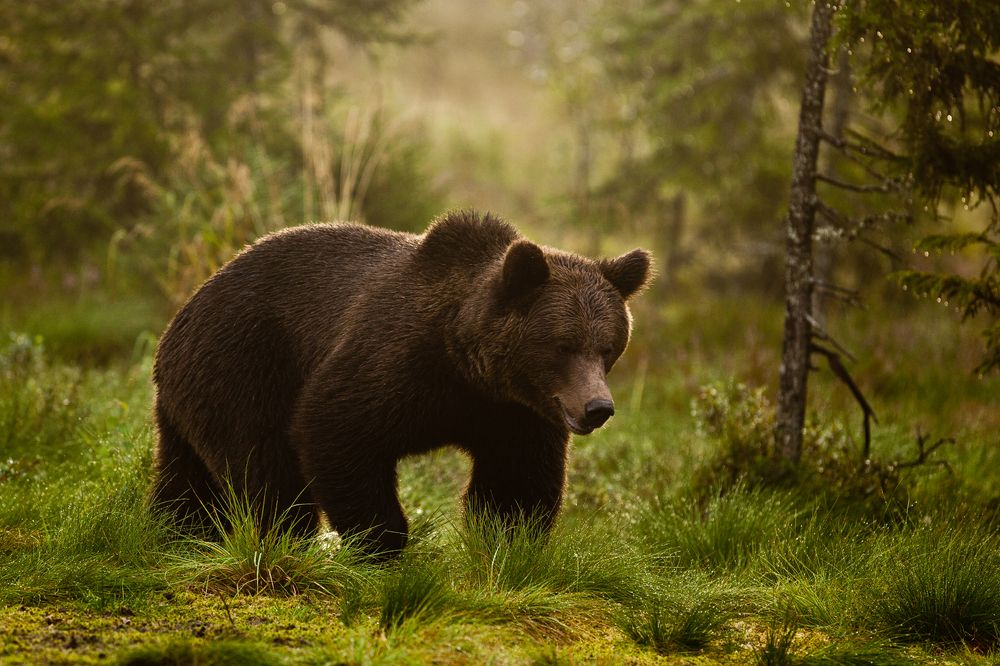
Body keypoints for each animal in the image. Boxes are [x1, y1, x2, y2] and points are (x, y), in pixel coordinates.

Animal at [151, 210, 650, 556]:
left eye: (608, 347)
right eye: (563, 345)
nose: (597, 408)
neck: (468, 367)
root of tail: (184, 311)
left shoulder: (514, 413)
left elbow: (516, 483)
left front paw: (509, 542)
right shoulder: (397, 362)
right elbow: (335, 425)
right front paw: (382, 540)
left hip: (192, 397)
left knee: (187, 479)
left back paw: (176, 532)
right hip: (243, 365)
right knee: (266, 466)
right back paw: (285, 536)